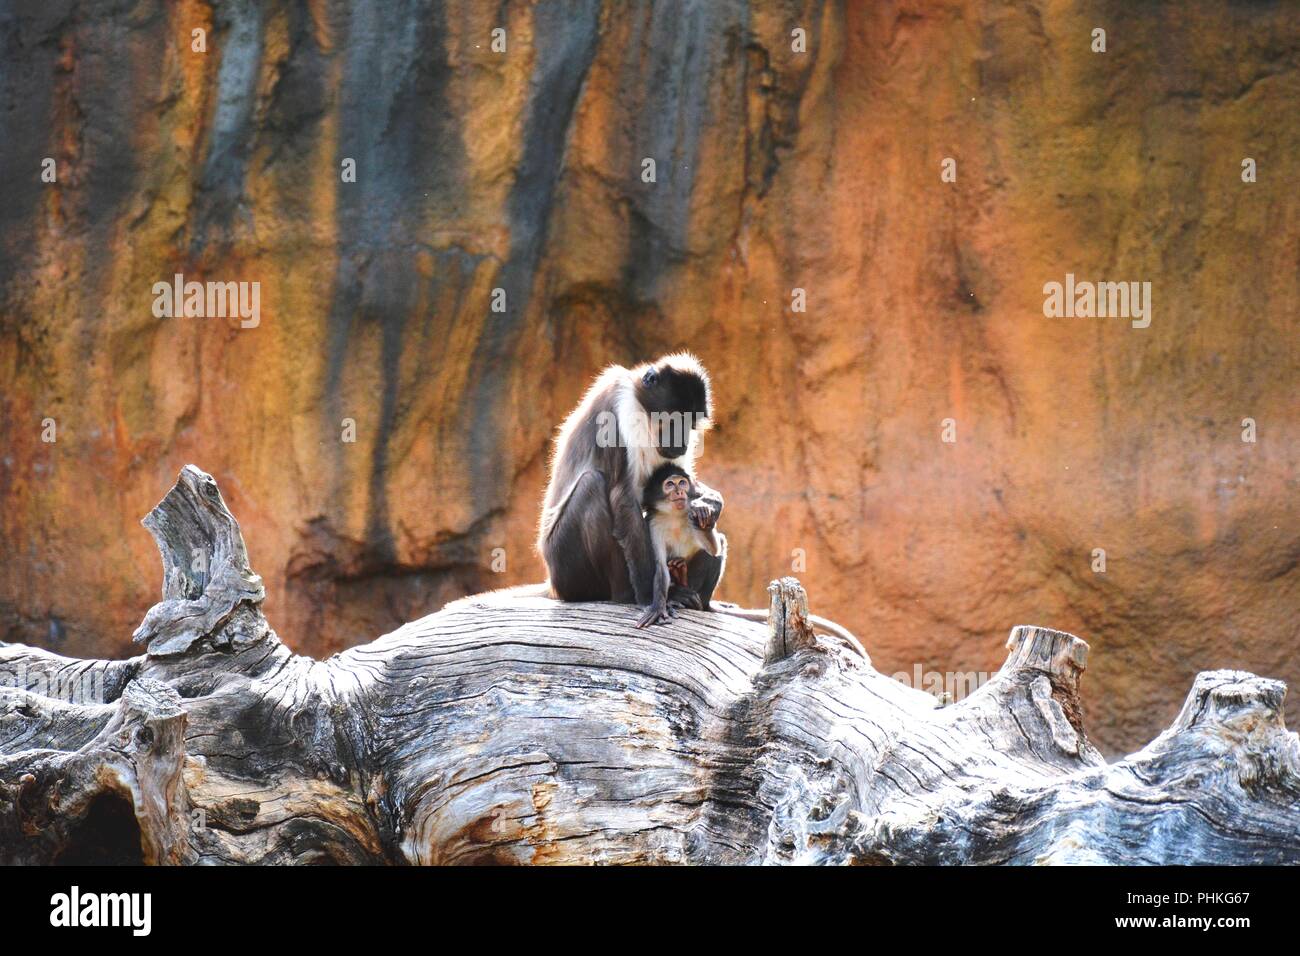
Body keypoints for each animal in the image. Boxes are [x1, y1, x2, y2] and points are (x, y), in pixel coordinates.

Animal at [637, 463, 728, 629]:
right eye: (670, 484)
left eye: (682, 483)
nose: (679, 491)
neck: (674, 516)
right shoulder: (652, 524)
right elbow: (660, 567)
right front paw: (658, 608)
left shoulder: (689, 514)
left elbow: (714, 549)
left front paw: (704, 511)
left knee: (718, 547)